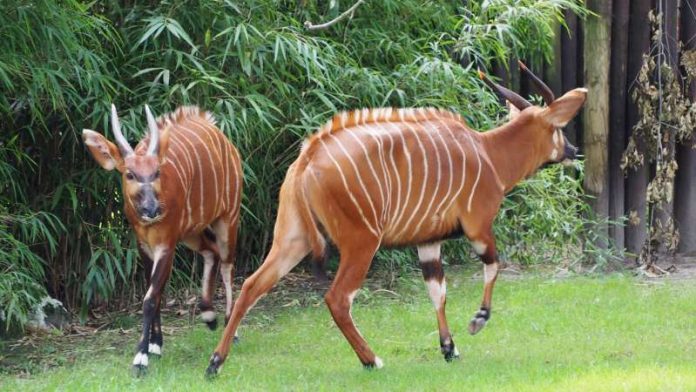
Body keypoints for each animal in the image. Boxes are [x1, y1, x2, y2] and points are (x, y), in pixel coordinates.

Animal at [82, 104, 242, 374]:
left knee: (228, 264)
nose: (152, 209)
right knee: (211, 252)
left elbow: (150, 297)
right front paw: (155, 345)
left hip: (228, 217)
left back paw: (232, 326)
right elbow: (153, 291)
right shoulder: (144, 245)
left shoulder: (166, 244)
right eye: (129, 174)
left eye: (156, 172)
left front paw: (140, 358)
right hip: (191, 232)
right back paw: (208, 315)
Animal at [205, 63, 580, 374]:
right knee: (337, 298)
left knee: (253, 285)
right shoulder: (478, 228)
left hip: (292, 240)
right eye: (558, 129)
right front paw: (477, 321)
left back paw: (216, 362)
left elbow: (437, 291)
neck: (489, 154)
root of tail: (309, 156)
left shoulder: (428, 242)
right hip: (362, 242)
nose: (574, 151)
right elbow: (493, 266)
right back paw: (371, 360)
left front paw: (449, 348)